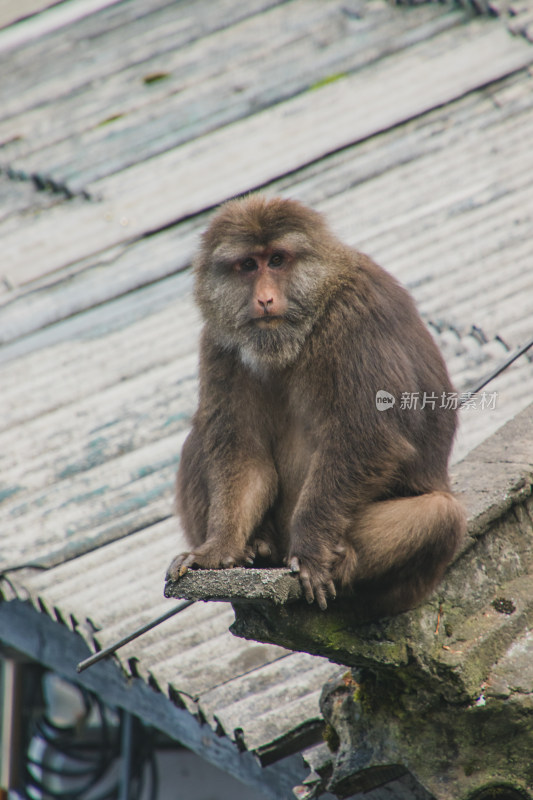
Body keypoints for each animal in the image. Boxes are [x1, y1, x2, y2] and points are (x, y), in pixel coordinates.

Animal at [166, 195, 466, 620]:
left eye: (277, 260)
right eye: (248, 265)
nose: (264, 299)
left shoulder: (354, 319)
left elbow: (365, 438)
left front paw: (310, 549)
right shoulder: (219, 343)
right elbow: (243, 453)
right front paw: (217, 550)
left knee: (441, 514)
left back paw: (342, 561)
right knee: (201, 437)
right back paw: (258, 546)